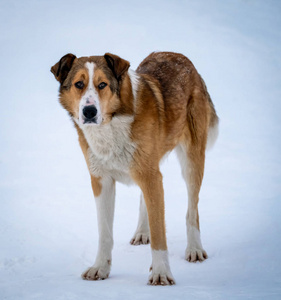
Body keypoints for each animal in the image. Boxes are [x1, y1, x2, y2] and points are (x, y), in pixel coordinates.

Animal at [50, 51, 219, 286]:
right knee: (144, 199)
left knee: (192, 210)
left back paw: (194, 248)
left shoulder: (150, 176)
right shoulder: (101, 181)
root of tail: (181, 57)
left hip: (191, 161)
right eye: (79, 84)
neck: (111, 124)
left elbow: (159, 233)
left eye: (102, 84)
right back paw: (141, 232)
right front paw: (100, 268)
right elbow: (105, 232)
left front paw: (161, 273)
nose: (89, 111)